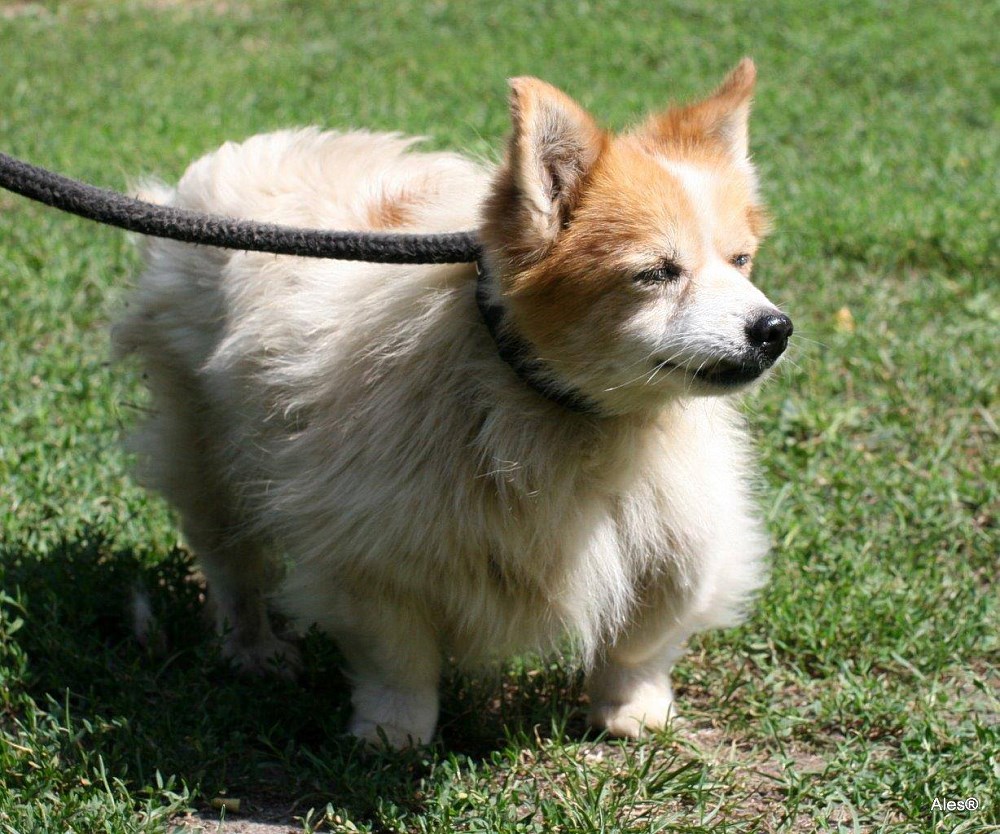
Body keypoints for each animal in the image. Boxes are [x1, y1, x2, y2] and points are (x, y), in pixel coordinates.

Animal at [114, 58, 791, 747]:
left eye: (741, 261)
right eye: (655, 273)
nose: (774, 329)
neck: (570, 414)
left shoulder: (679, 529)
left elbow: (645, 637)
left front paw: (633, 709)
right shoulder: (375, 544)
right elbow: (397, 654)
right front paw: (393, 732)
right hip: (207, 451)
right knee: (231, 561)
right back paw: (252, 647)